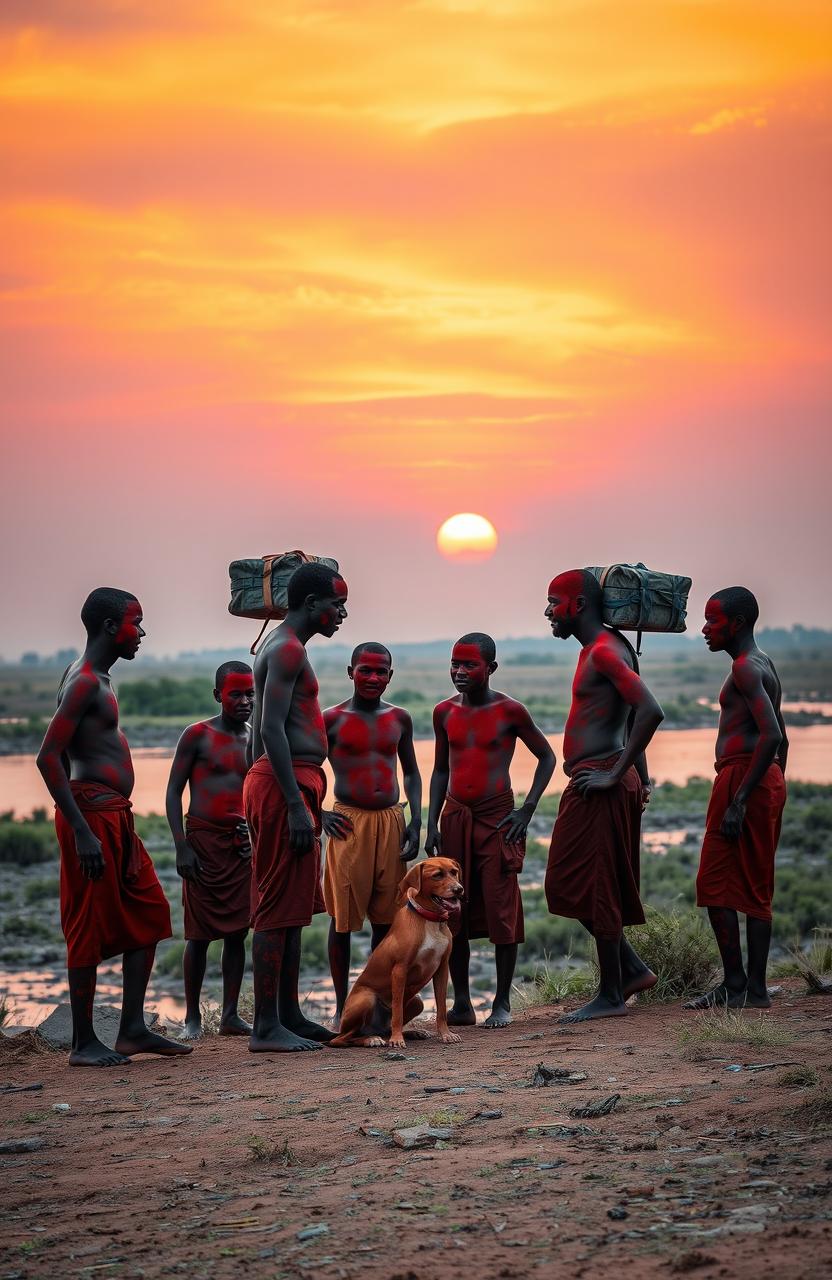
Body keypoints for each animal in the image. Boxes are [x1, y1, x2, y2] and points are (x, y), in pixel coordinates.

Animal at [327, 860, 460, 1049]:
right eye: (437, 875)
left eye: (454, 872)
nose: (459, 889)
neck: (429, 919)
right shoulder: (399, 969)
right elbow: (397, 1010)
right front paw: (397, 1039)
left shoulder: (442, 968)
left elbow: (441, 1007)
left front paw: (446, 1034)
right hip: (366, 999)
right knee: (343, 1039)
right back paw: (372, 1039)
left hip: (417, 1001)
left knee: (384, 1029)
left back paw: (412, 1033)